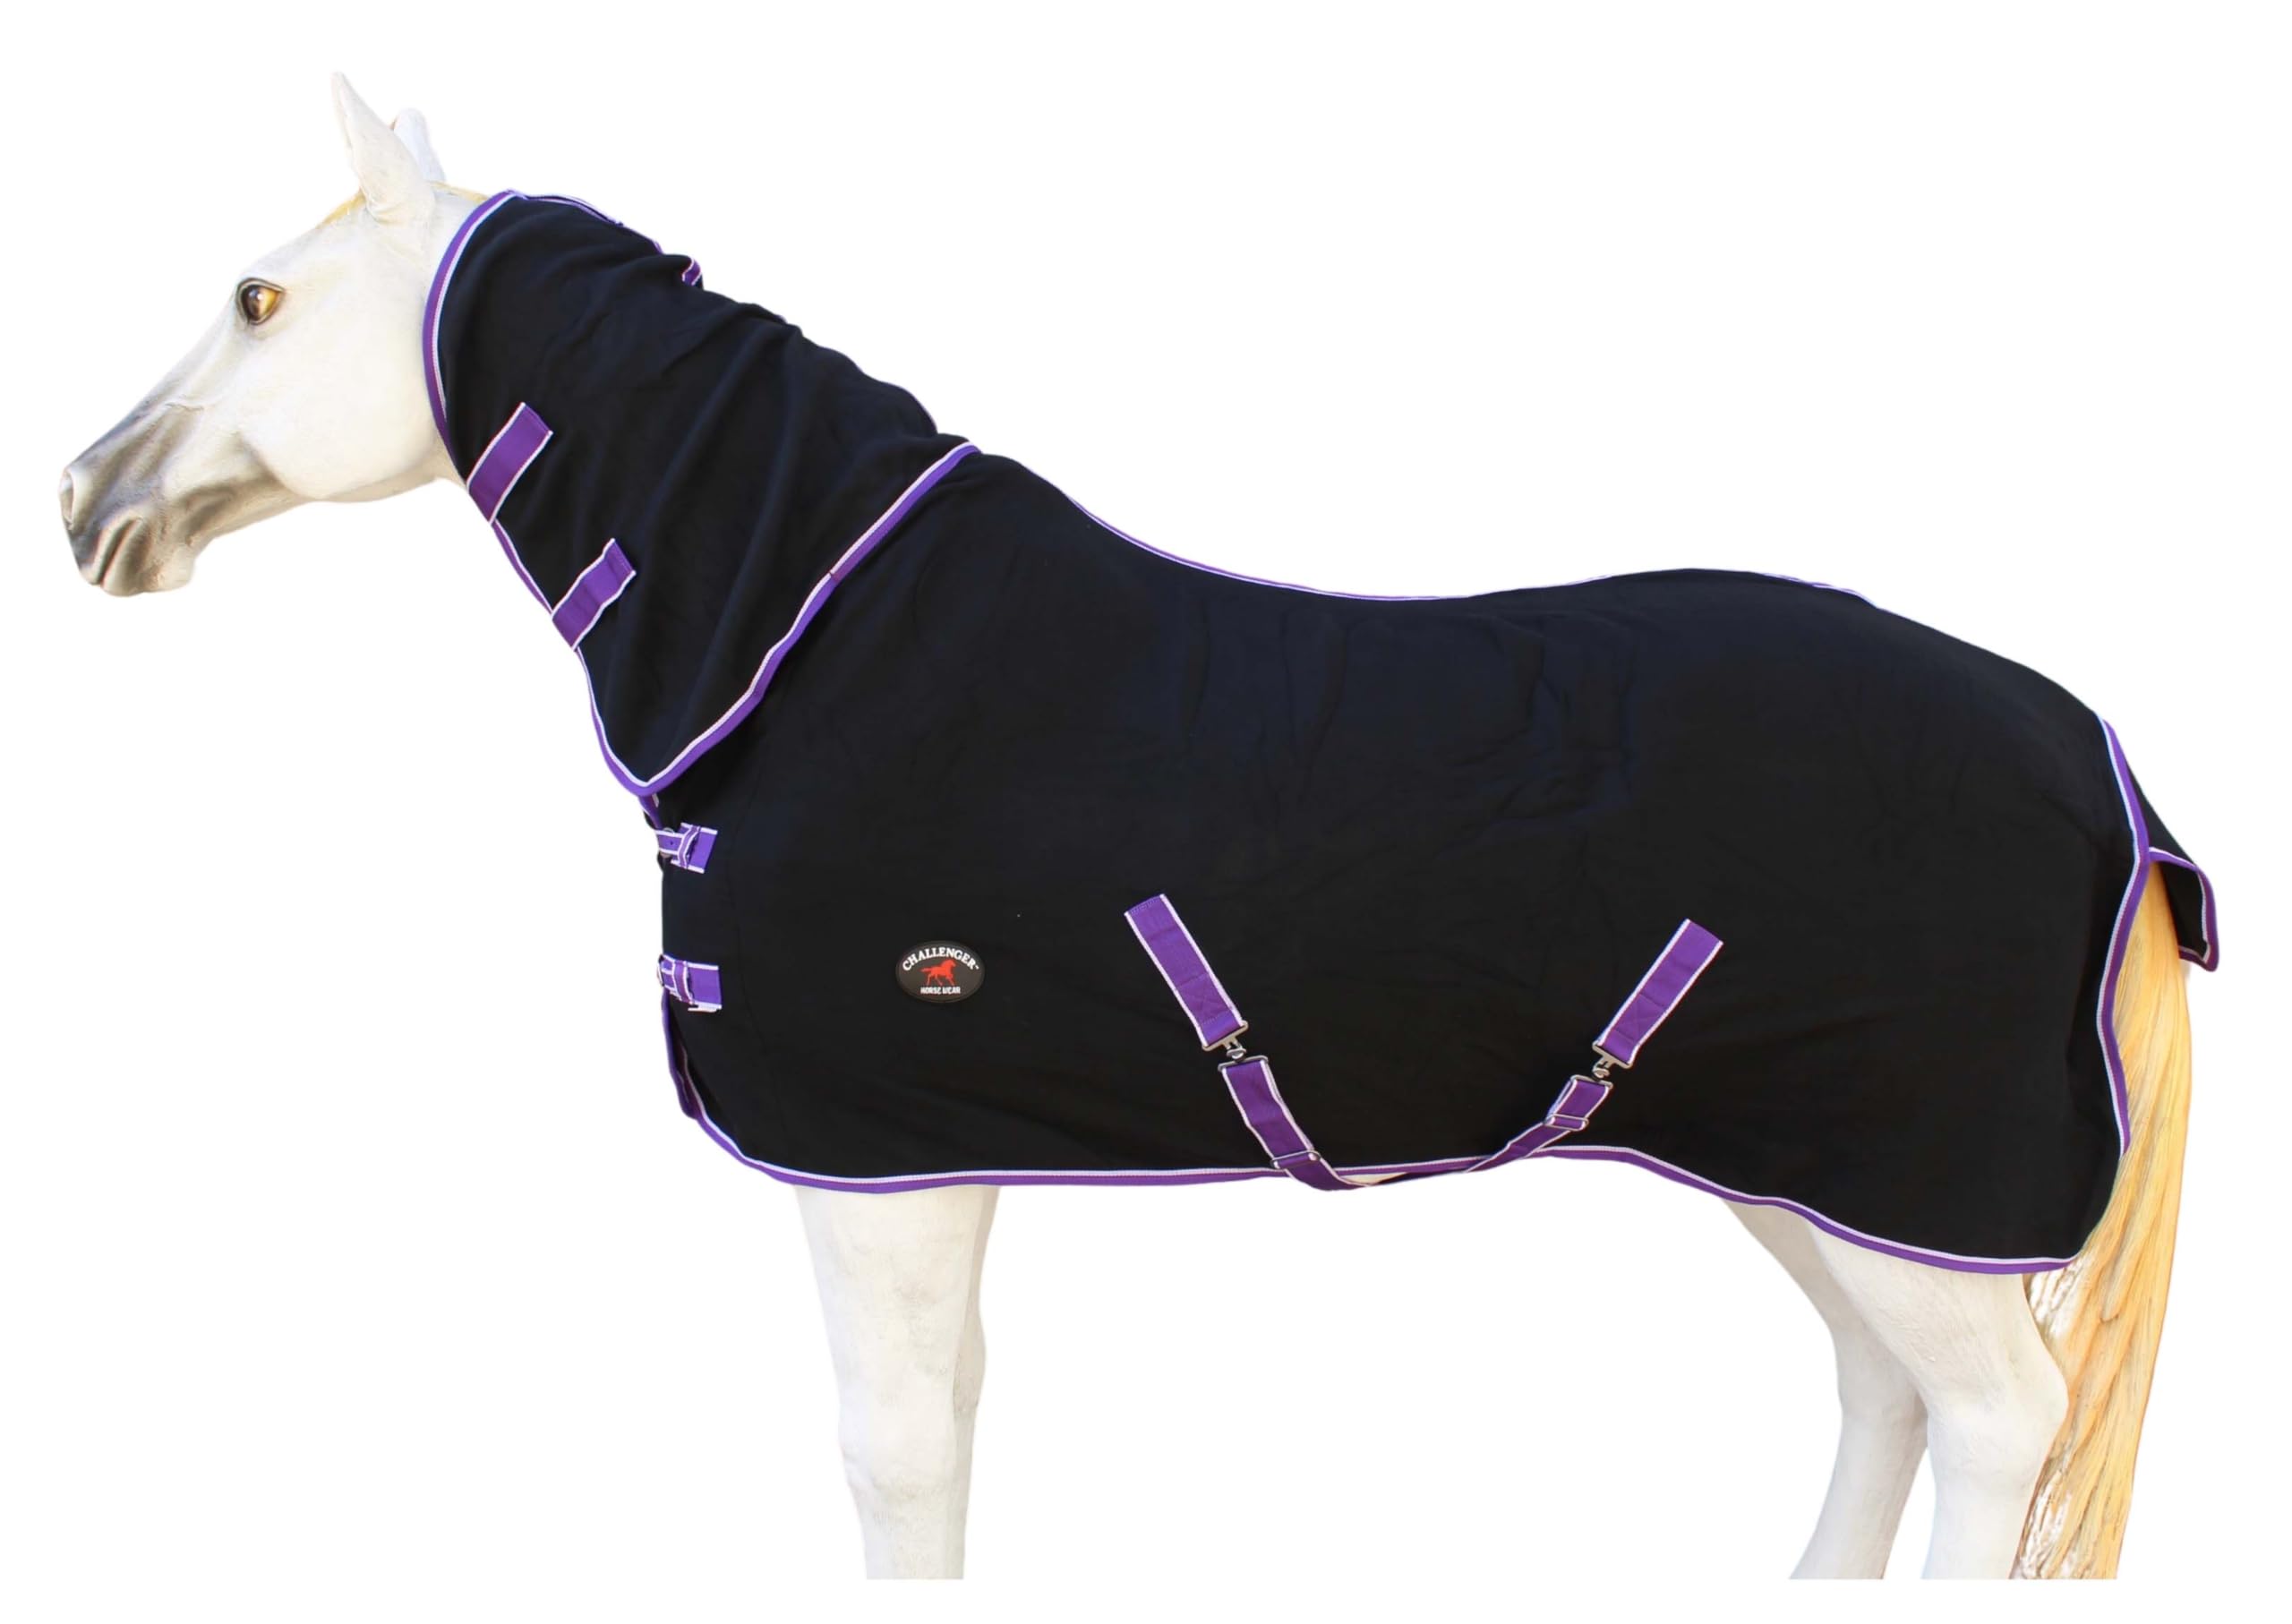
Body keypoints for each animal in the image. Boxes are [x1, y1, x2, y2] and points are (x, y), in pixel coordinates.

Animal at [57, 76, 2211, 1580]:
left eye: (256, 295)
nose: (87, 500)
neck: (818, 647)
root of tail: (2100, 759)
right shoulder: (931, 1167)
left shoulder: (874, 1175)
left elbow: (899, 1455)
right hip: (1815, 1162)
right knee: (1885, 1391)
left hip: (1902, 1173)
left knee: (1996, 1419)